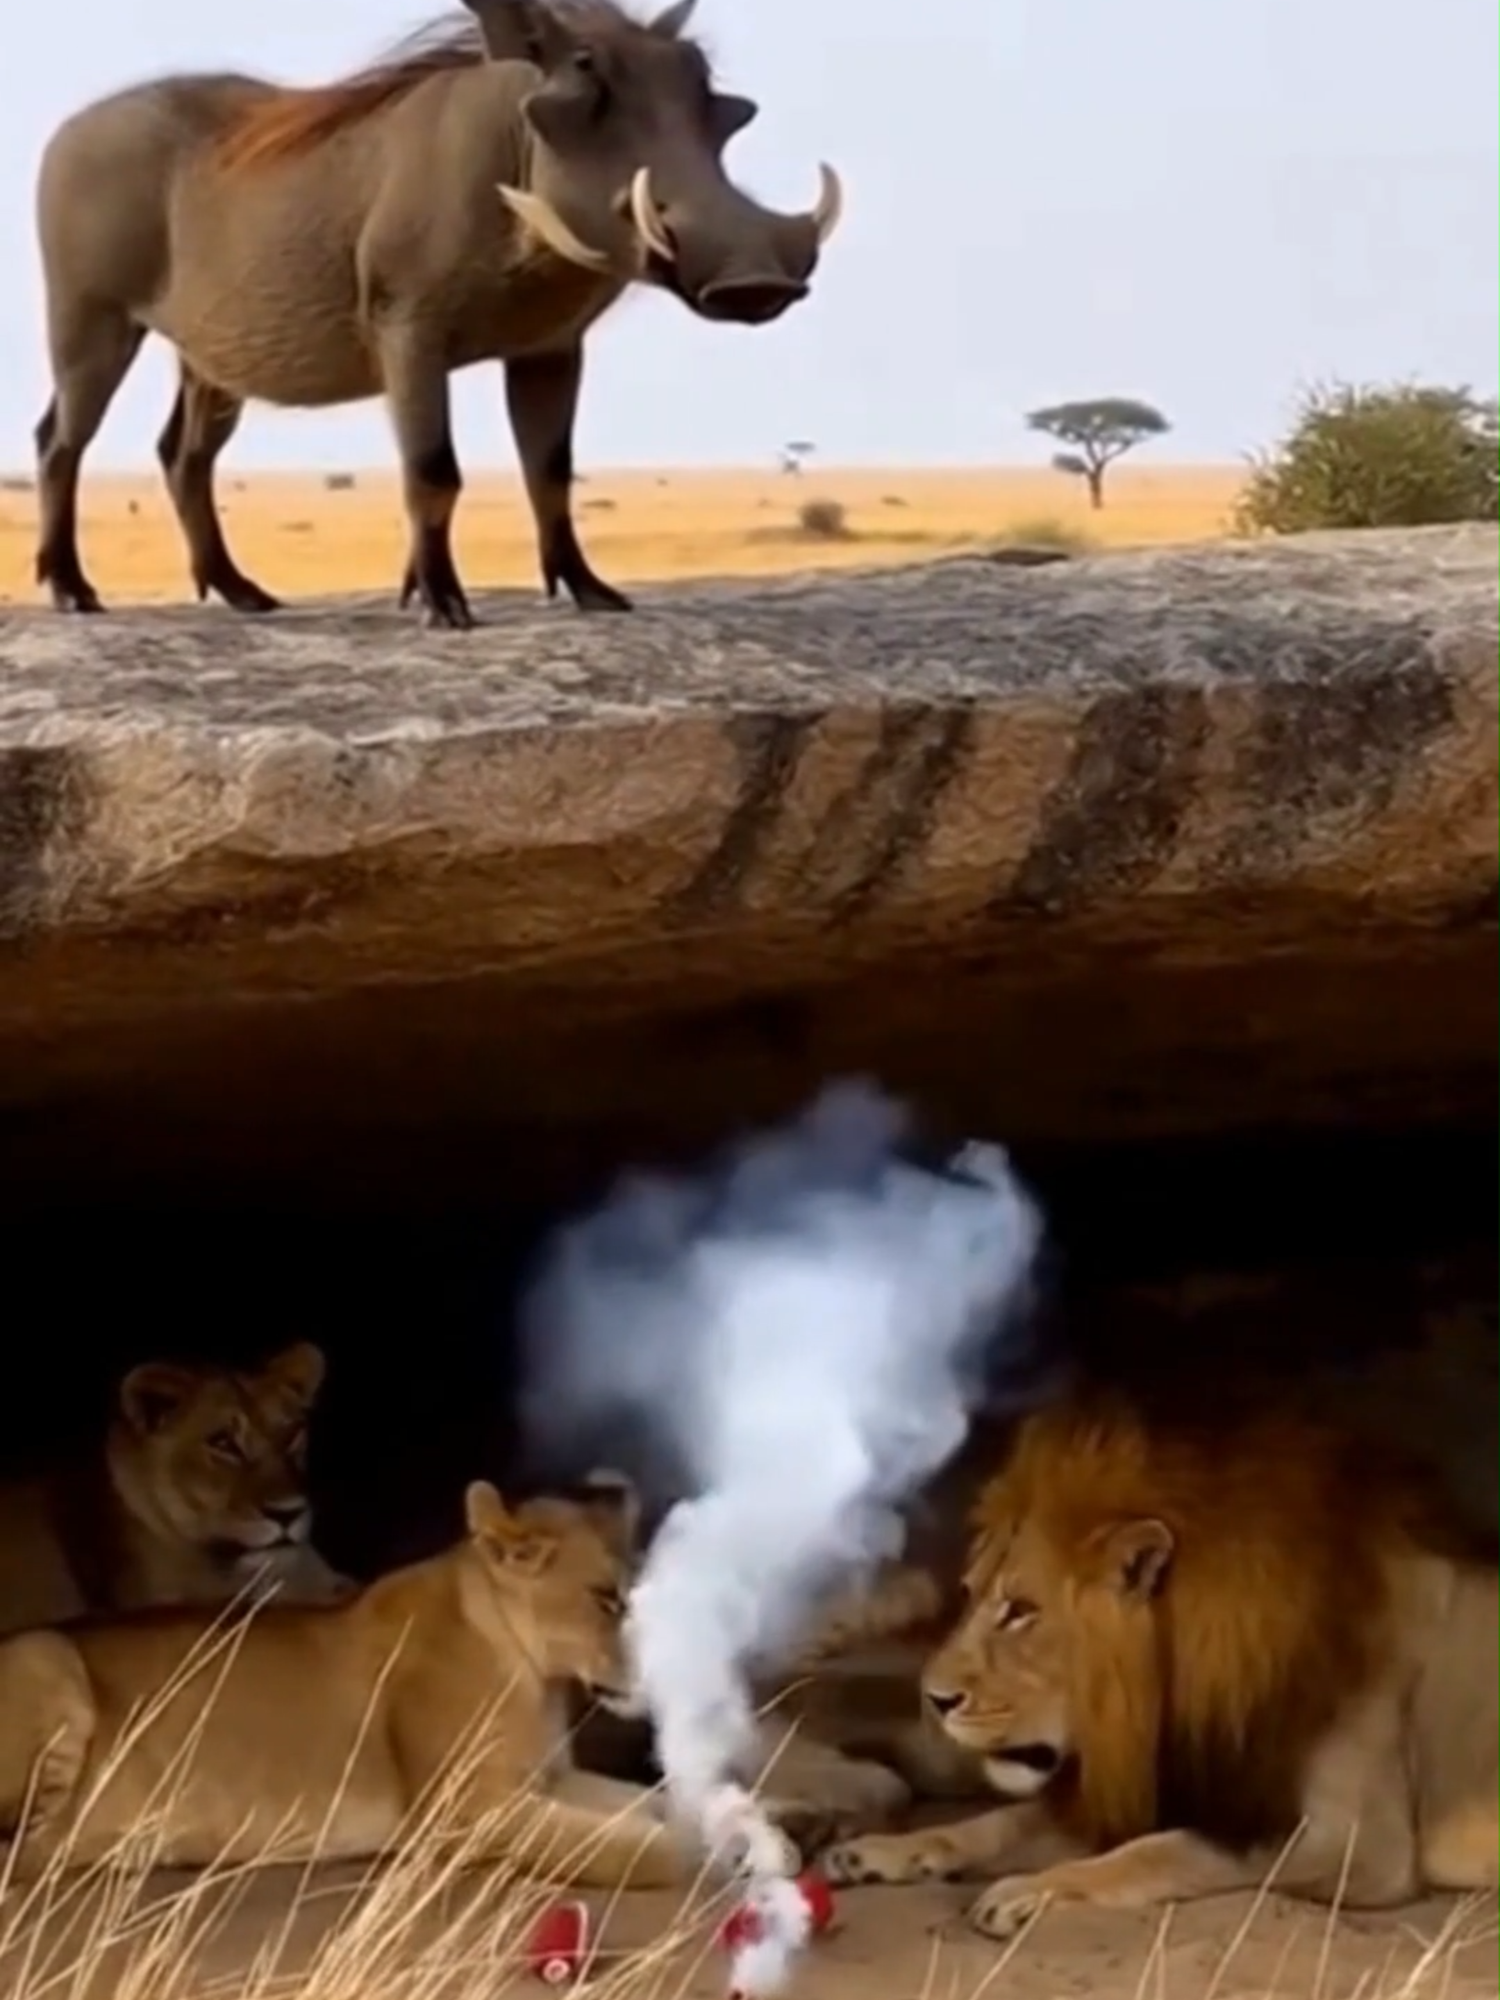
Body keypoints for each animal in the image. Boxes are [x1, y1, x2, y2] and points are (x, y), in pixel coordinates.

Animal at [0, 1473, 728, 1889]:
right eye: (607, 1599)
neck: (535, 1676)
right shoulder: (468, 1812)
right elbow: (639, 1850)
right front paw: (713, 1851)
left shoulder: (543, 1781)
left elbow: (645, 1803)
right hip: (45, 1652)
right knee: (20, 1853)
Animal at [822, 1395, 1499, 1940]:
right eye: (968, 1592)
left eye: (1021, 1611)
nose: (934, 1700)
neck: (1177, 1690)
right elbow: (1001, 1823)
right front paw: (883, 1849)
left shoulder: (1357, 1845)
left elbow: (1164, 1851)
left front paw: (1028, 1890)